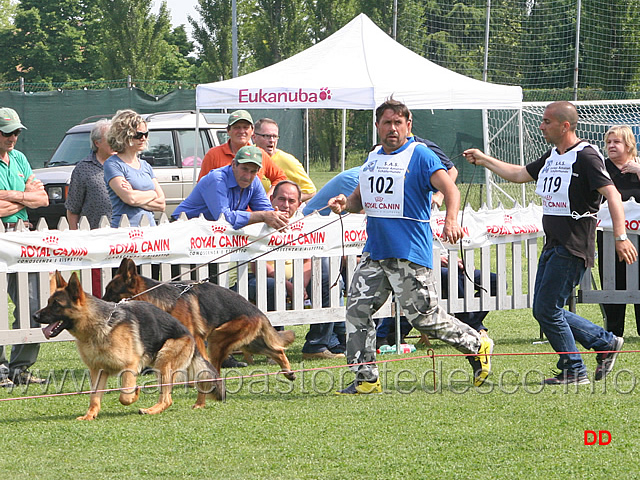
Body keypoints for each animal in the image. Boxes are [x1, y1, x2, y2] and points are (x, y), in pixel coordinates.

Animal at [35, 272, 225, 422]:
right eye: (48, 301)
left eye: (56, 305)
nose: (35, 316)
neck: (98, 324)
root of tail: (189, 335)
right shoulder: (97, 371)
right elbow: (94, 397)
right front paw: (90, 415)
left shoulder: (130, 366)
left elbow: (124, 396)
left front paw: (135, 393)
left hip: (163, 363)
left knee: (167, 399)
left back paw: (151, 410)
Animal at [103, 258, 298, 382]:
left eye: (111, 292)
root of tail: (258, 311)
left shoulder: (194, 339)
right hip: (248, 343)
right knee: (277, 351)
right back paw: (289, 372)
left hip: (219, 339)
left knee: (217, 366)